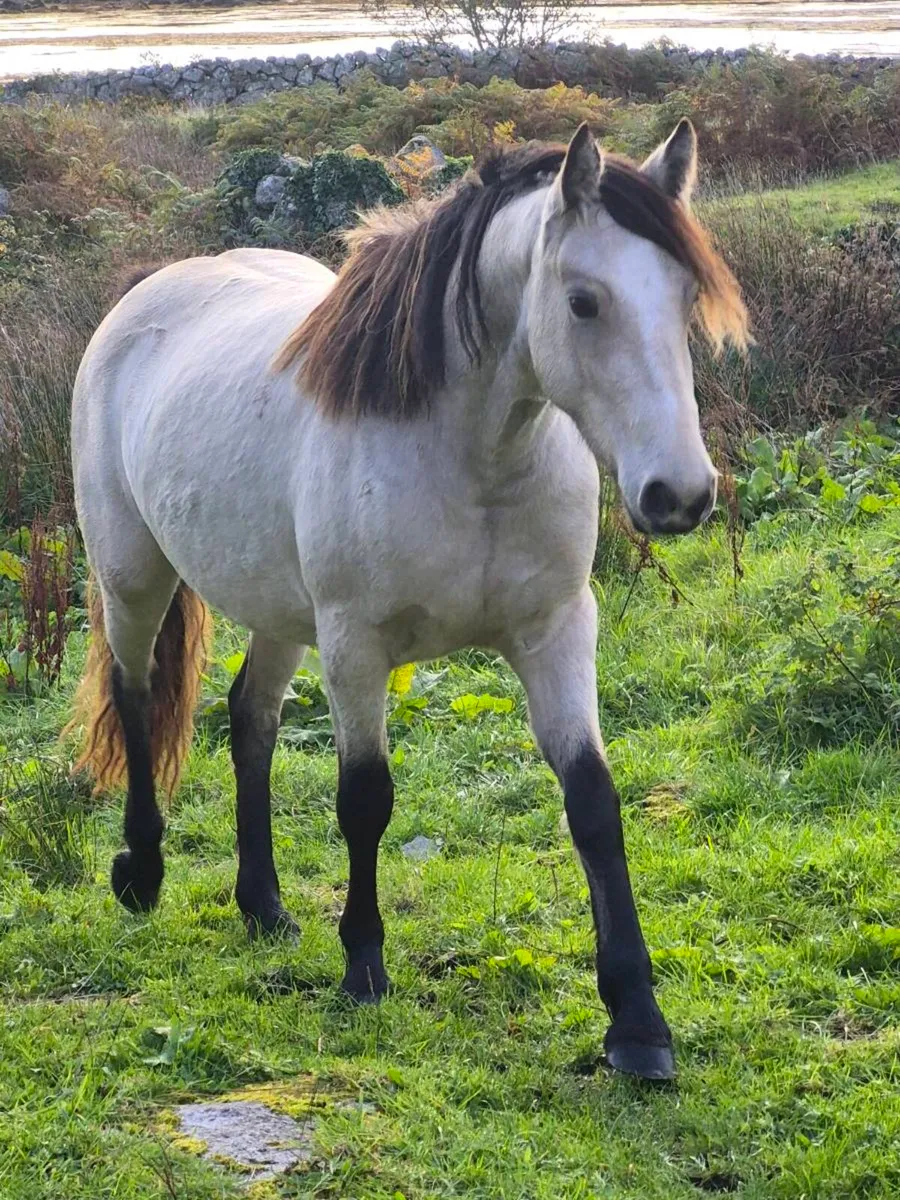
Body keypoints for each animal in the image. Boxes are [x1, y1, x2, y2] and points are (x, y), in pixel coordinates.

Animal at [68, 121, 748, 1081]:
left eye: (687, 297)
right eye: (584, 302)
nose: (680, 495)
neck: (471, 458)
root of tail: (143, 300)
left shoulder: (555, 633)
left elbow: (593, 803)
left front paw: (638, 1025)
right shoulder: (357, 646)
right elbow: (365, 799)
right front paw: (363, 966)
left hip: (279, 610)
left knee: (250, 719)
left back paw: (263, 905)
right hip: (133, 574)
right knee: (136, 697)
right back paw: (144, 871)